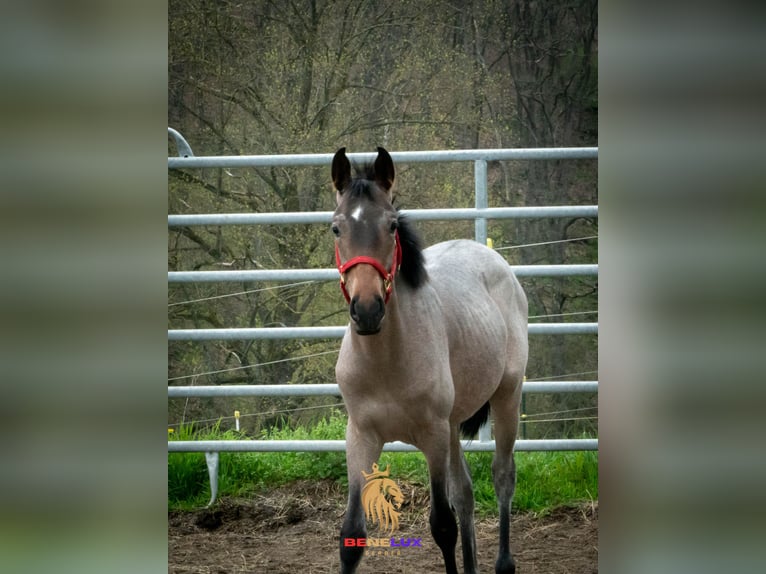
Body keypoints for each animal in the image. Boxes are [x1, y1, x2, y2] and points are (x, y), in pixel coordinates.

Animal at [332, 147, 532, 574]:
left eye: (392, 225)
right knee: (466, 493)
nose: (367, 311)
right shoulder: (361, 436)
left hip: (506, 397)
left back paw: (504, 563)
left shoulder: (433, 435)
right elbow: (351, 534)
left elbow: (442, 525)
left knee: (502, 477)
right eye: (336, 228)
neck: (387, 362)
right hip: (455, 423)